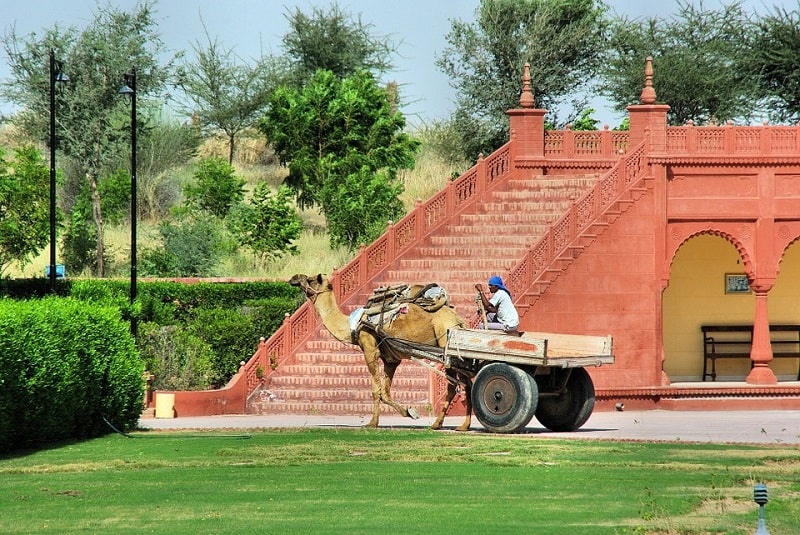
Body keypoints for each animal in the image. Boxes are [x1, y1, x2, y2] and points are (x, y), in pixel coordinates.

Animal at [290, 274, 472, 434]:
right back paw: (461, 425)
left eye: (311, 280)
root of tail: (459, 320)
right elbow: (385, 391)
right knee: (466, 382)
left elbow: (375, 390)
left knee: (454, 385)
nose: (294, 278)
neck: (353, 326)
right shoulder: (391, 359)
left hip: (445, 345)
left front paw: (372, 423)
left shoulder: (370, 350)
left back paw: (439, 424)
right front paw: (409, 412)